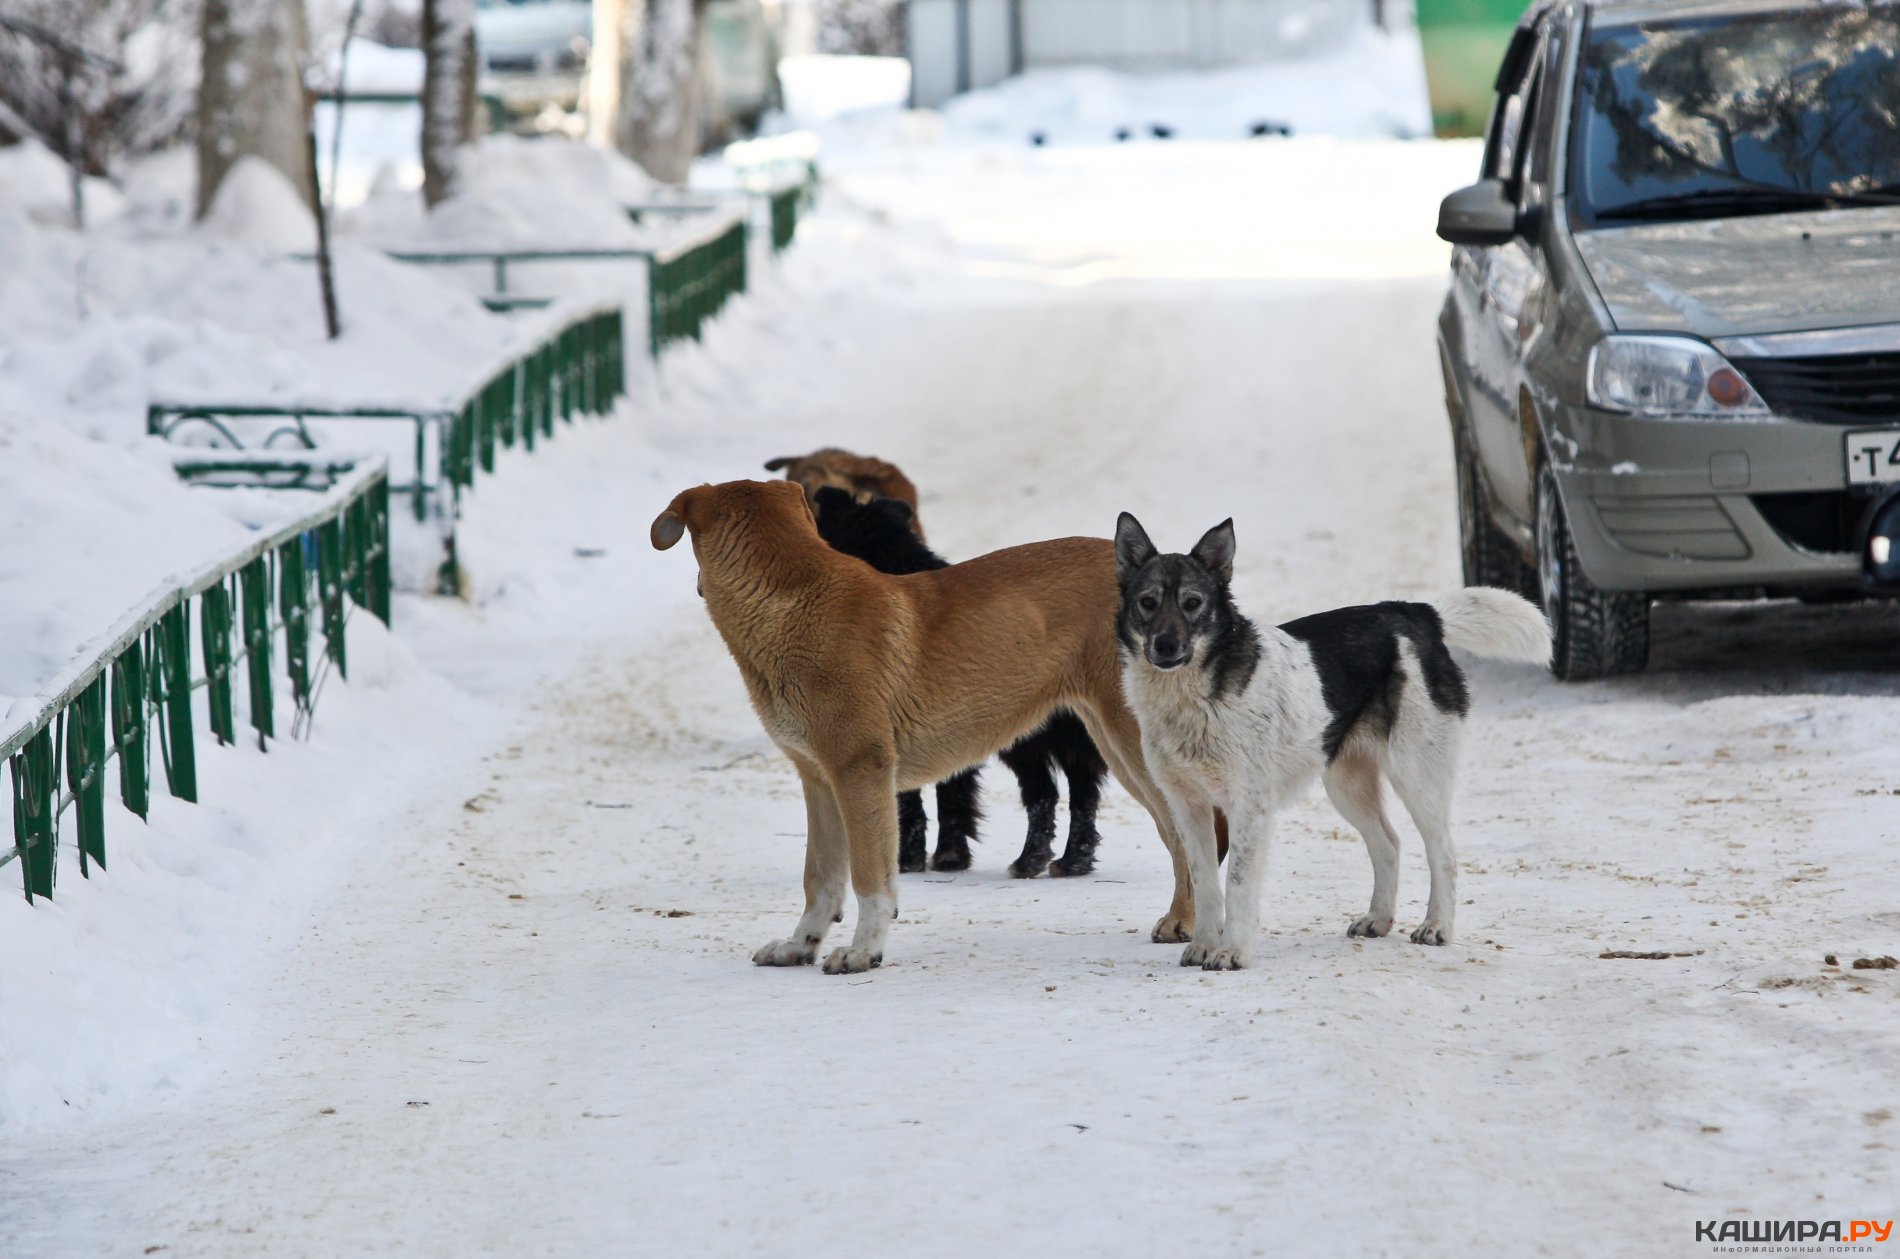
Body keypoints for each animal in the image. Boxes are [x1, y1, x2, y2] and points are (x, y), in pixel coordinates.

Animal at [809, 482, 1109, 877]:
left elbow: (940, 796)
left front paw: (938, 856)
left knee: (1055, 792)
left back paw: (1039, 860)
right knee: (1068, 792)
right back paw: (1067, 859)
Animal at [1109, 516, 1542, 968]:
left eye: (1192, 603)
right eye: (1148, 602)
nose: (1166, 645)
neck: (1192, 693)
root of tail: (1416, 614)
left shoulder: (1249, 806)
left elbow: (1238, 885)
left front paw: (1232, 952)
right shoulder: (1189, 807)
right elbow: (1206, 884)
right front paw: (1205, 945)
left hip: (1416, 776)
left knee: (1443, 852)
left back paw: (1437, 926)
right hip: (1346, 785)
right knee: (1389, 843)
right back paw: (1378, 919)